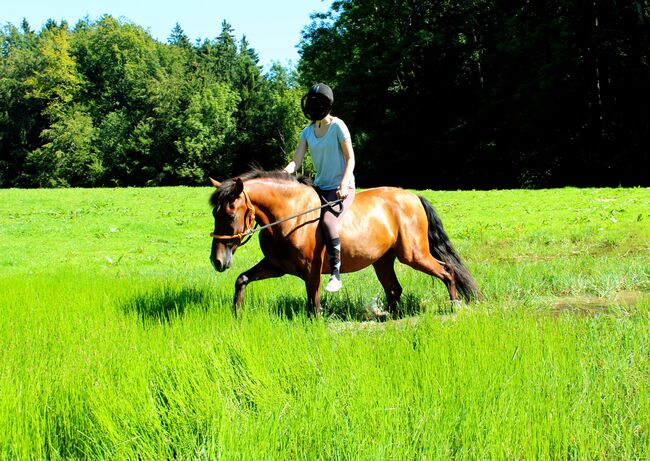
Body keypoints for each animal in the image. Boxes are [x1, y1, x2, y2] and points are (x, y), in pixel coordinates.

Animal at [210, 168, 478, 316]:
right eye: (215, 213)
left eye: (230, 215)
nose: (217, 261)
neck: (290, 215)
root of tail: (413, 197)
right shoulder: (276, 266)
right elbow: (242, 279)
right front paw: (237, 315)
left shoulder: (312, 270)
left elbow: (314, 304)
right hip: (383, 260)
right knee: (394, 289)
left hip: (414, 255)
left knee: (447, 271)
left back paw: (455, 306)